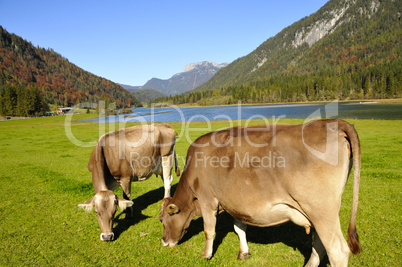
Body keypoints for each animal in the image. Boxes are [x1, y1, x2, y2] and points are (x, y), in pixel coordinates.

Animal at [159, 120, 362, 266]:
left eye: (162, 220)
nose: (163, 242)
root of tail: (333, 123)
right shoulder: (236, 202)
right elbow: (239, 228)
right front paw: (243, 252)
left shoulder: (207, 198)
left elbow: (209, 230)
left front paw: (205, 255)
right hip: (320, 213)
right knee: (319, 243)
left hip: (320, 210)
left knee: (337, 250)